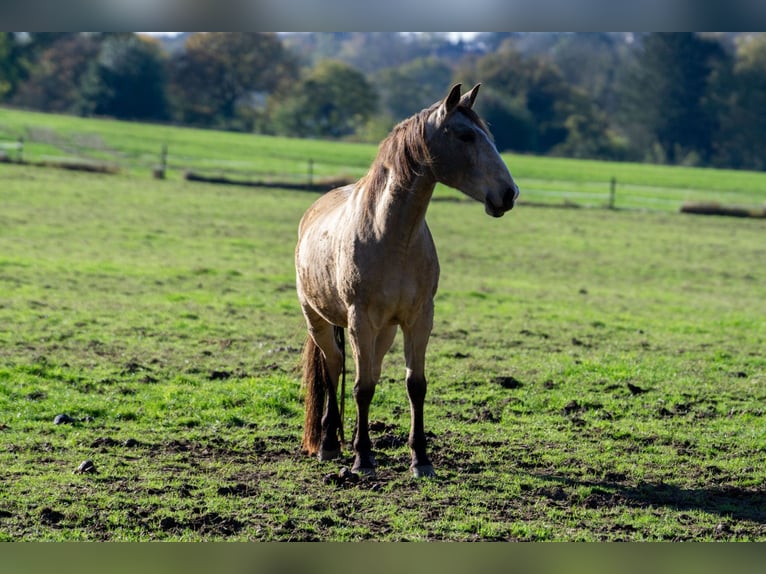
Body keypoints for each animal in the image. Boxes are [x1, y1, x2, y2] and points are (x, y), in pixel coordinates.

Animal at [296, 84, 520, 482]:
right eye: (465, 135)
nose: (509, 193)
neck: (391, 235)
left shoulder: (419, 319)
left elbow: (414, 385)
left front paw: (421, 459)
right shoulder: (360, 320)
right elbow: (362, 387)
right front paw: (363, 458)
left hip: (383, 331)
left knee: (364, 369)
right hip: (318, 319)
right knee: (334, 367)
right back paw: (329, 443)